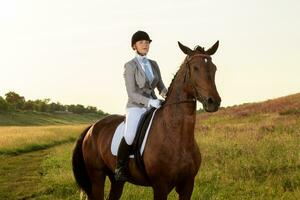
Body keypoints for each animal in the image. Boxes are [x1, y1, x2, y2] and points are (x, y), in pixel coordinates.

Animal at [72, 40, 220, 198]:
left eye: (214, 68)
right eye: (195, 68)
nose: (213, 102)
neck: (177, 136)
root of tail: (92, 127)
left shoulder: (188, 184)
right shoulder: (160, 186)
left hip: (116, 180)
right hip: (97, 176)